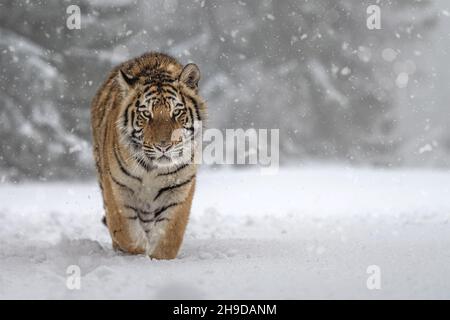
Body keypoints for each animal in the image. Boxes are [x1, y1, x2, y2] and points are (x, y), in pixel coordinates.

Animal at [90, 51, 207, 258]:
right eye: (146, 114)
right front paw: (137, 251)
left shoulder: (179, 187)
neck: (152, 169)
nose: (164, 146)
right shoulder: (118, 186)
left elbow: (169, 234)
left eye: (176, 112)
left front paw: (157, 257)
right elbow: (125, 230)